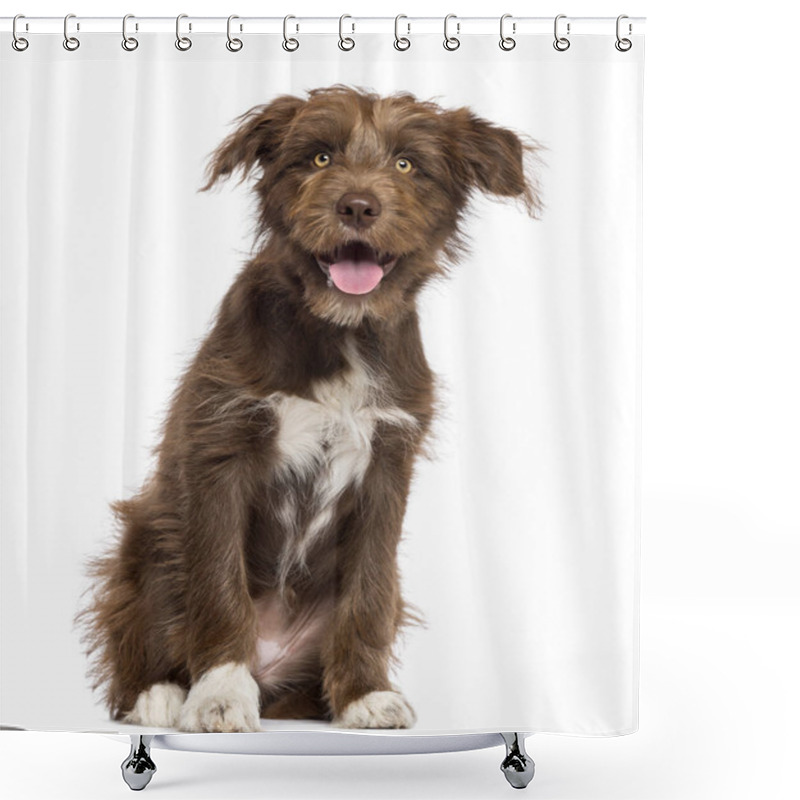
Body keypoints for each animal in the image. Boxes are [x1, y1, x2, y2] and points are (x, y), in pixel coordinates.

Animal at [78, 87, 540, 732]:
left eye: (406, 164)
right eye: (320, 157)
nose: (359, 206)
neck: (340, 329)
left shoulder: (388, 466)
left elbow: (368, 591)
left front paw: (365, 694)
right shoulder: (221, 446)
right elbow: (219, 585)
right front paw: (221, 693)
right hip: (150, 540)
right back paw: (160, 693)